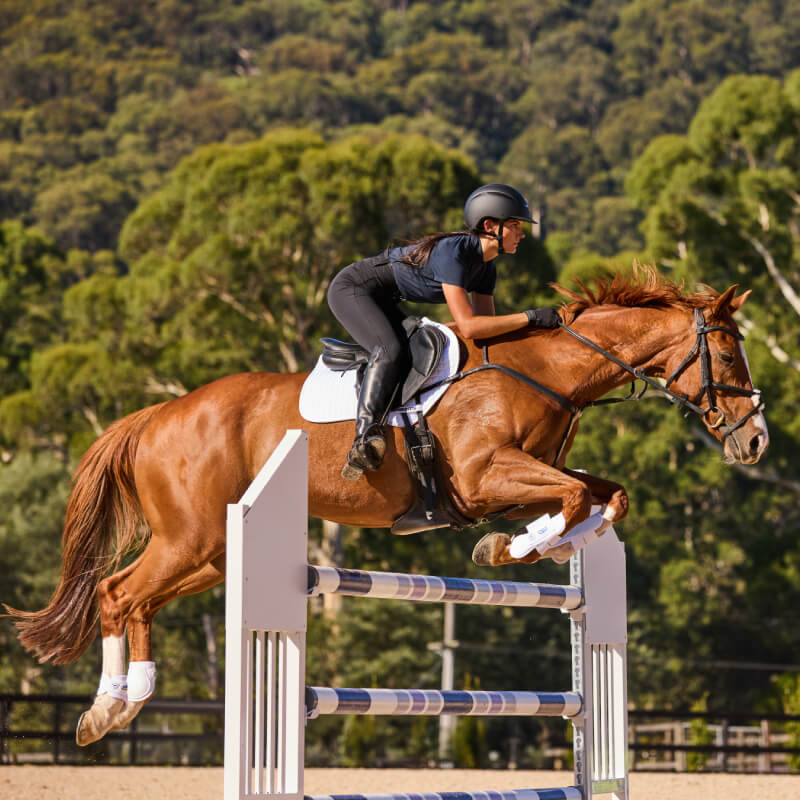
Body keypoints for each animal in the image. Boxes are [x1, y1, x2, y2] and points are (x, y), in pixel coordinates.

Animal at [3, 266, 768, 747]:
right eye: (729, 355)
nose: (756, 440)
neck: (545, 370)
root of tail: (158, 416)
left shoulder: (535, 470)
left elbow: (608, 497)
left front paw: (543, 544)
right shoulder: (484, 477)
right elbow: (576, 494)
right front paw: (513, 546)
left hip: (212, 554)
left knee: (133, 602)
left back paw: (116, 707)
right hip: (186, 540)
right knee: (115, 593)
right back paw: (114, 705)